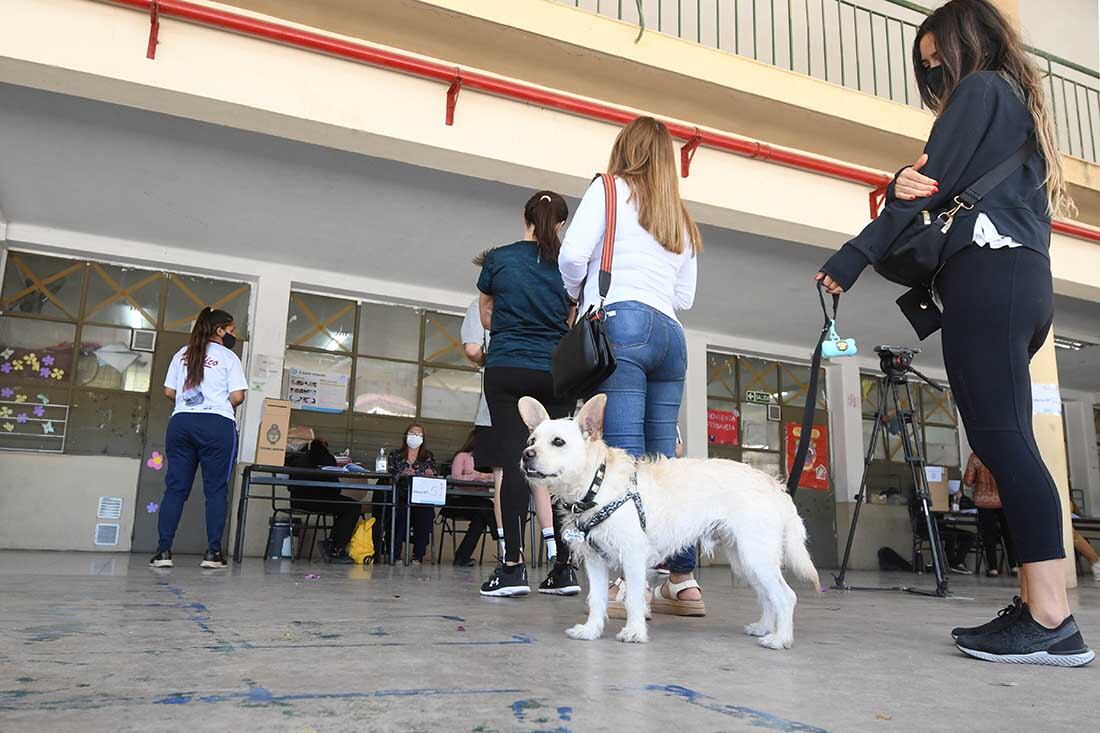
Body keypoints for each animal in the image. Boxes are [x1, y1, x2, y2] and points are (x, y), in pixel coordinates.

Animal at [514, 394, 818, 647]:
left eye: (558, 442)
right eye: (531, 441)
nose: (526, 455)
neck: (595, 488)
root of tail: (774, 484)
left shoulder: (633, 558)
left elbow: (634, 598)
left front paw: (634, 632)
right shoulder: (595, 562)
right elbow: (597, 599)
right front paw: (591, 630)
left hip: (756, 556)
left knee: (785, 597)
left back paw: (779, 639)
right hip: (745, 560)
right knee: (767, 596)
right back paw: (765, 628)